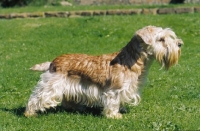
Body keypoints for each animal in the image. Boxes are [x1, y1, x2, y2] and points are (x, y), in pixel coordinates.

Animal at [23, 25, 183, 118]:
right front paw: (114, 115)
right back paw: (29, 113)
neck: (131, 60)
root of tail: (52, 62)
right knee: (36, 97)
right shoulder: (115, 90)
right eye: (161, 39)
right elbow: (113, 102)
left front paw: (120, 110)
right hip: (51, 86)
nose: (180, 44)